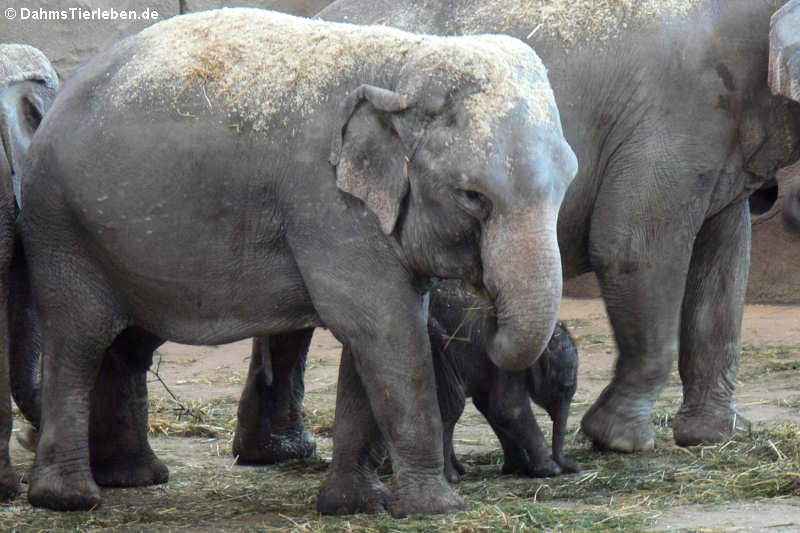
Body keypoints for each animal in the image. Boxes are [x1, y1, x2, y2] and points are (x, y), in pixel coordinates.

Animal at [428, 278, 580, 482]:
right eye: (564, 387)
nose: (576, 467)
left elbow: (489, 407)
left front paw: (518, 468)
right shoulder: (507, 362)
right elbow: (508, 408)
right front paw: (550, 470)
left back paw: (458, 471)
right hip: (437, 352)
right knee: (452, 406)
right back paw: (451, 477)